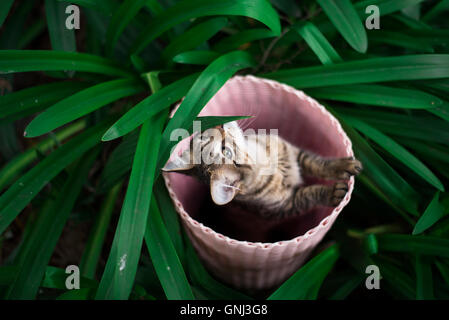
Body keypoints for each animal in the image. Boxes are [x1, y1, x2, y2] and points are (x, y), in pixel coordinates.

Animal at [163, 121, 362, 219]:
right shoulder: (287, 205)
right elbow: (311, 193)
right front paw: (333, 193)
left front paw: (342, 166)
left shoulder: (294, 153)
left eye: (203, 134)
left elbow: (318, 164)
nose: (219, 126)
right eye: (225, 151)